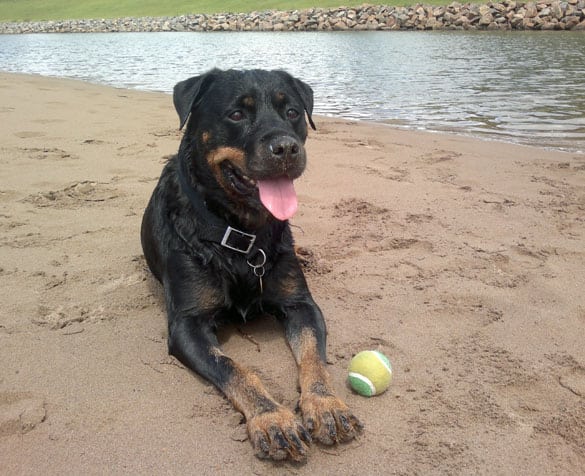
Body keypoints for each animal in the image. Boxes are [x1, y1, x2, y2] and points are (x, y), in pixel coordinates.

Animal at [141, 68, 362, 461]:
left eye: (292, 112)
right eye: (236, 114)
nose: (287, 148)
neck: (241, 235)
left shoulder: (301, 305)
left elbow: (313, 358)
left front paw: (326, 405)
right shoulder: (187, 324)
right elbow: (234, 368)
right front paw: (272, 418)